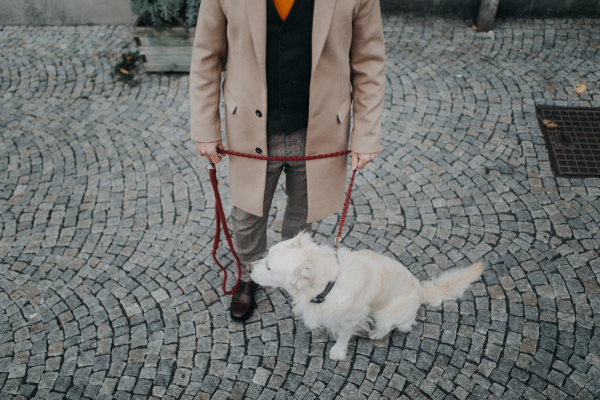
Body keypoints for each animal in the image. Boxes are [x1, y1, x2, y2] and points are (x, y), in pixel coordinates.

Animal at [250, 231, 488, 360]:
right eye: (267, 255)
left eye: (269, 267)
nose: (249, 267)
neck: (329, 283)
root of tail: (422, 290)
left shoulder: (351, 319)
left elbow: (344, 336)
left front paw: (338, 352)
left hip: (389, 315)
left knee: (401, 326)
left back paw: (377, 333)